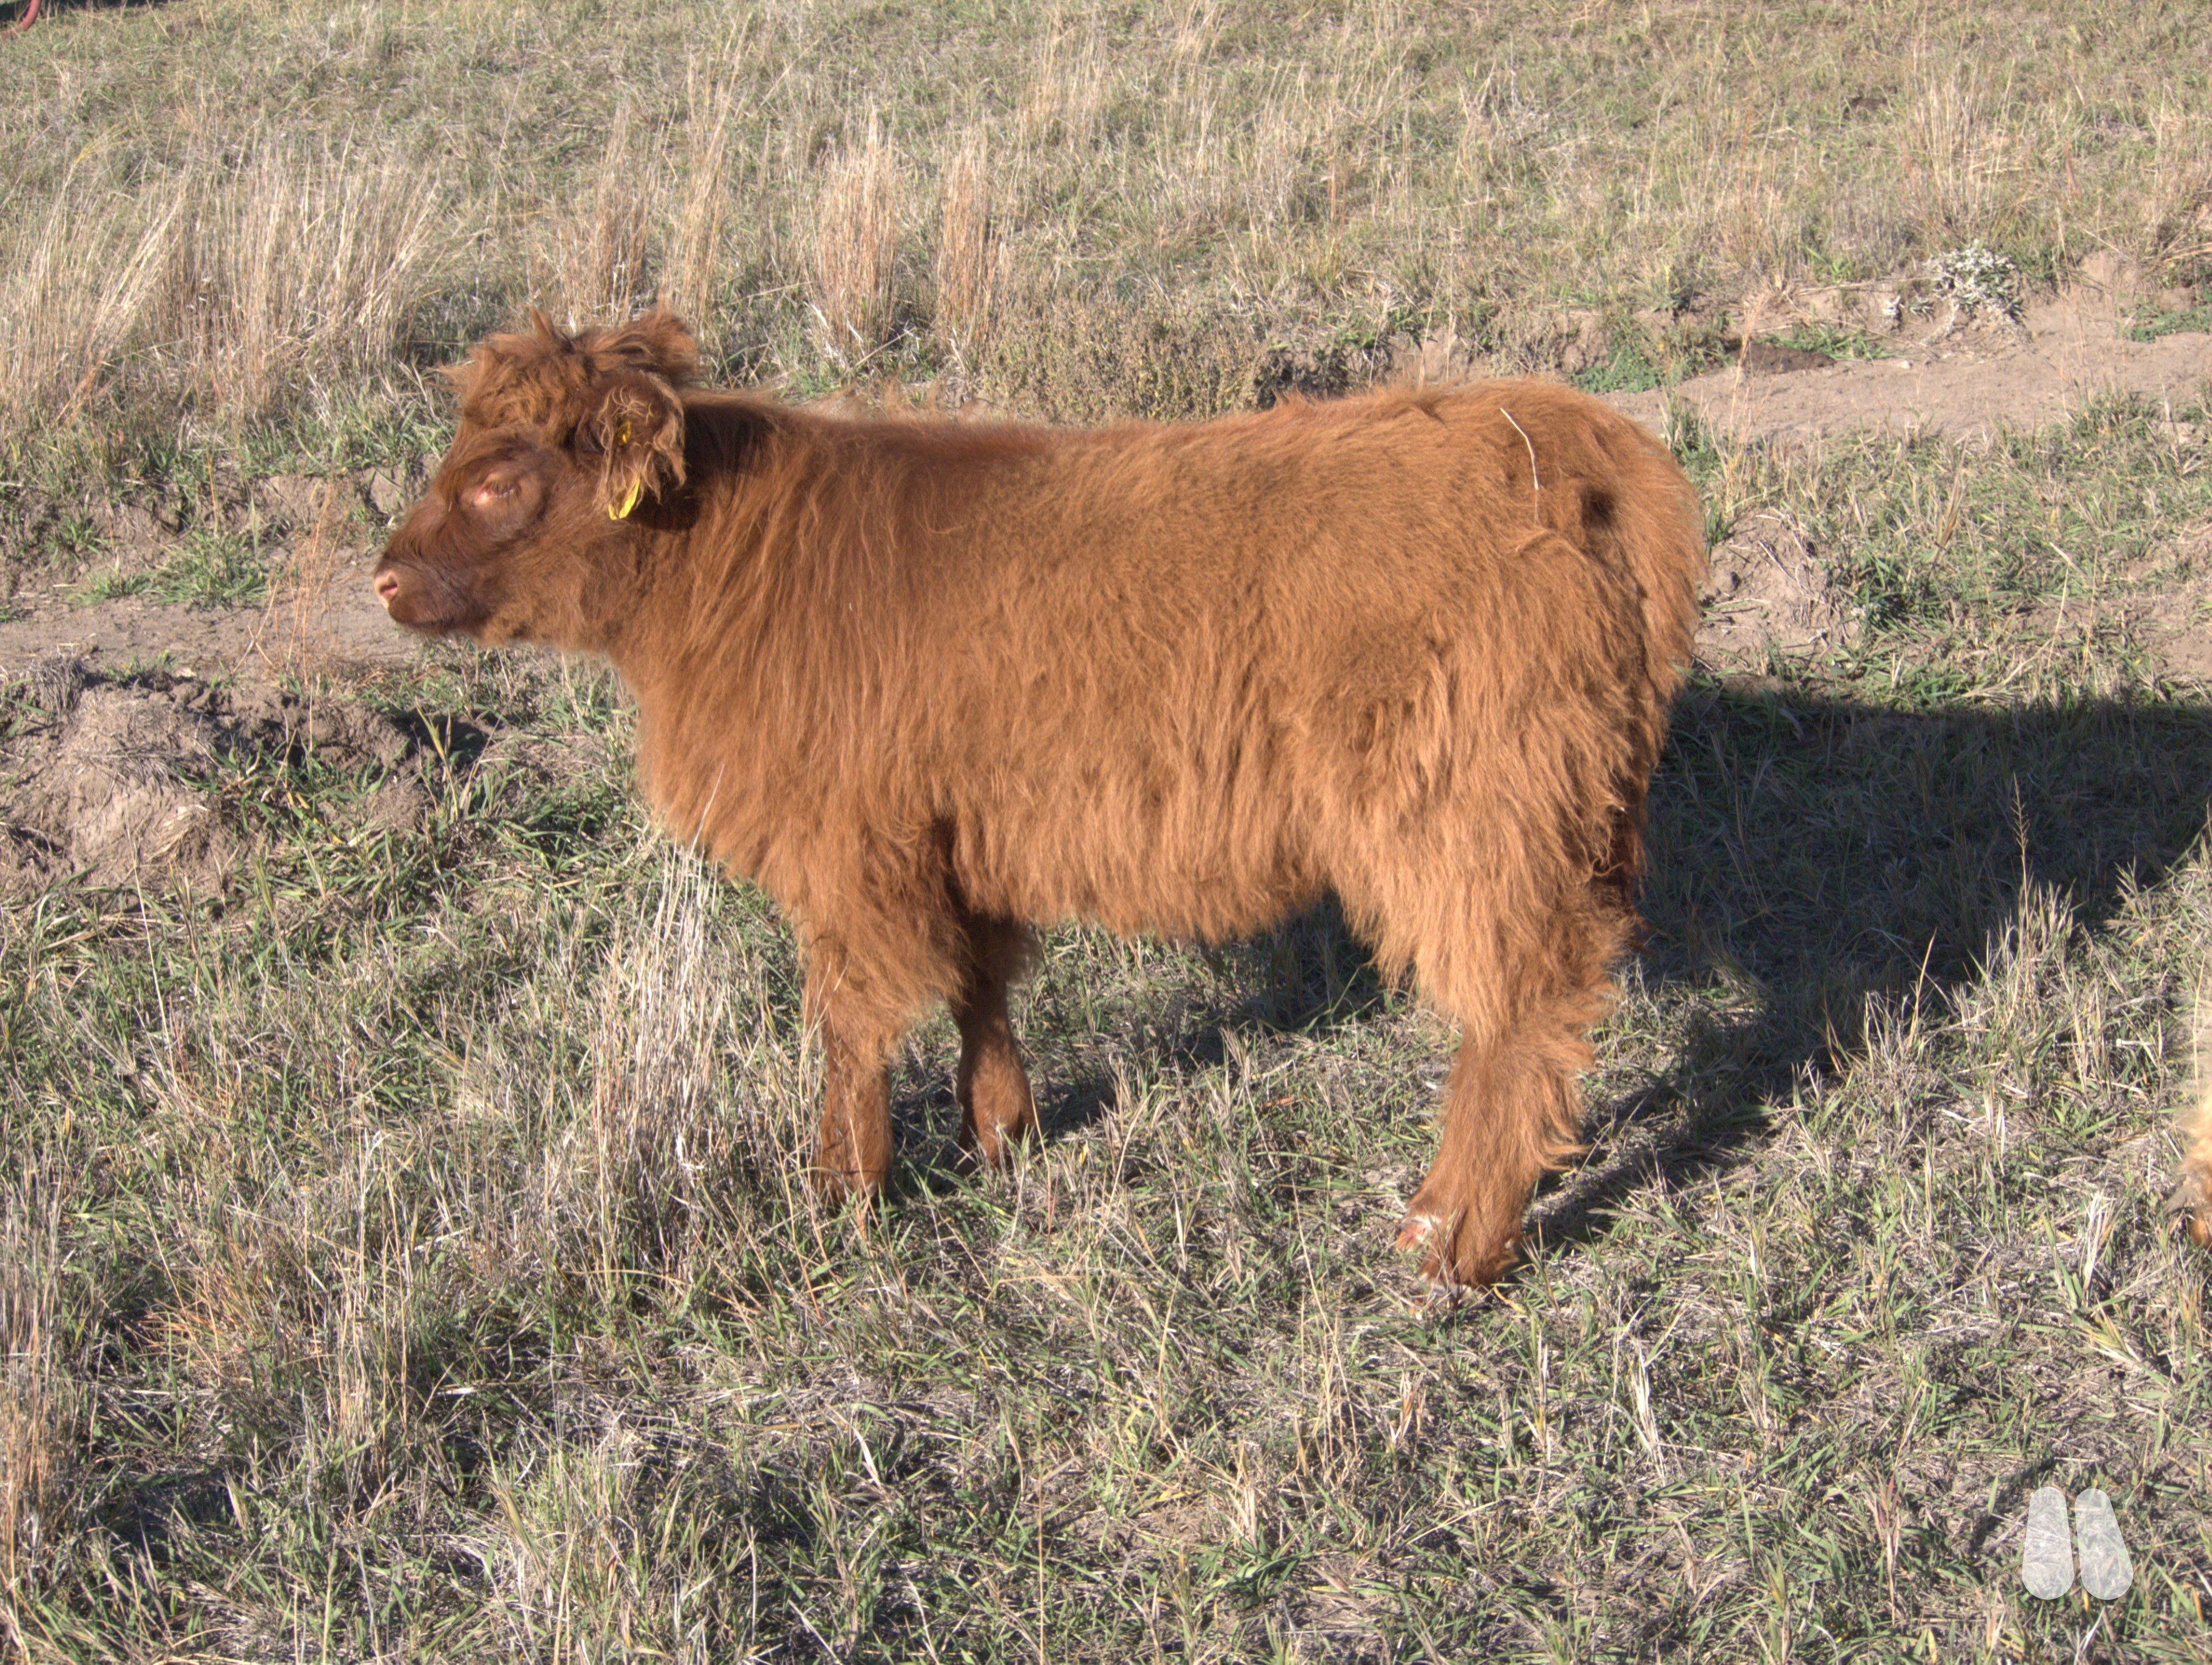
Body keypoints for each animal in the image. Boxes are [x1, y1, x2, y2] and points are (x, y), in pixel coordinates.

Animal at [373, 307, 1706, 1287]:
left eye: (498, 481)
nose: (383, 579)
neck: (727, 573)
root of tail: (1569, 443)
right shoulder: (957, 832)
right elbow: (978, 982)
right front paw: (1000, 1138)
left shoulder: (850, 849)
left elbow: (852, 1021)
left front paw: (840, 1195)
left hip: (1472, 818)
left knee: (1515, 1016)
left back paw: (1444, 1242)